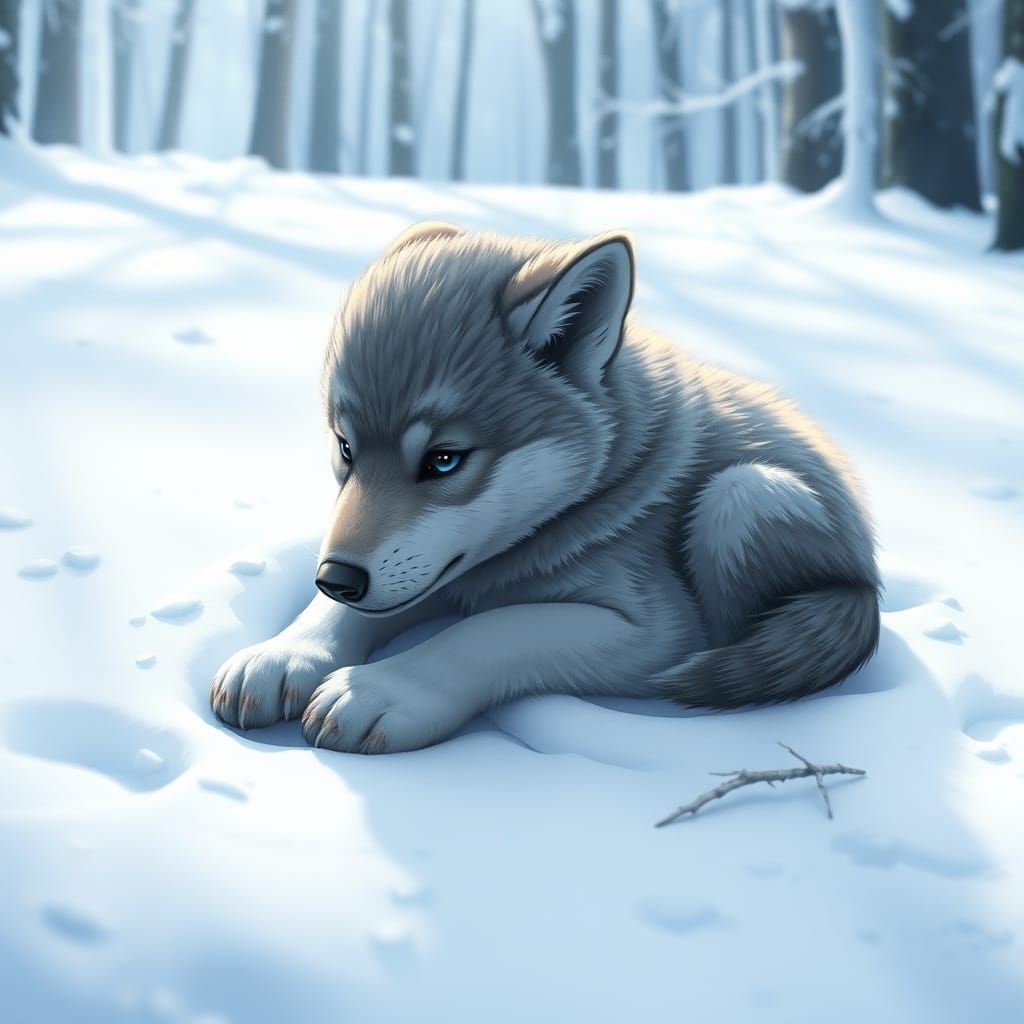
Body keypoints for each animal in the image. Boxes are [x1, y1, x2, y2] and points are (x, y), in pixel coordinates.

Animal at [210, 222, 880, 753]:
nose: (336, 577)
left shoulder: (659, 632)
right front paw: (282, 653)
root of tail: (864, 576)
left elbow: (490, 632)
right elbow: (345, 616)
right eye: (346, 449)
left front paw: (382, 690)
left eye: (444, 460)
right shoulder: (441, 572)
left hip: (741, 495)